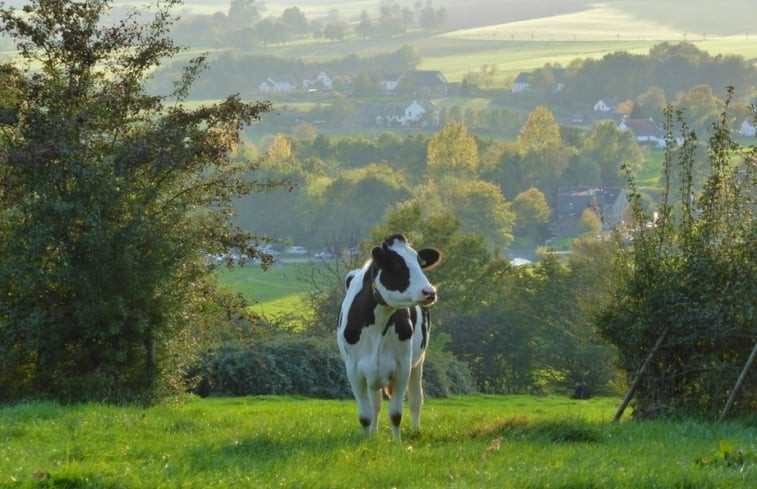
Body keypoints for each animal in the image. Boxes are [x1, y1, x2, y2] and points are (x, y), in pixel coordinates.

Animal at [336, 234, 440, 438]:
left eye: (419, 262)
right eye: (397, 264)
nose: (429, 292)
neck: (377, 326)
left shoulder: (402, 367)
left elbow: (396, 413)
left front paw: (397, 442)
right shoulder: (353, 370)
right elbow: (365, 415)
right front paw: (367, 439)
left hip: (419, 360)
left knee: (416, 399)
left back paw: (415, 430)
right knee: (375, 405)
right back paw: (374, 434)